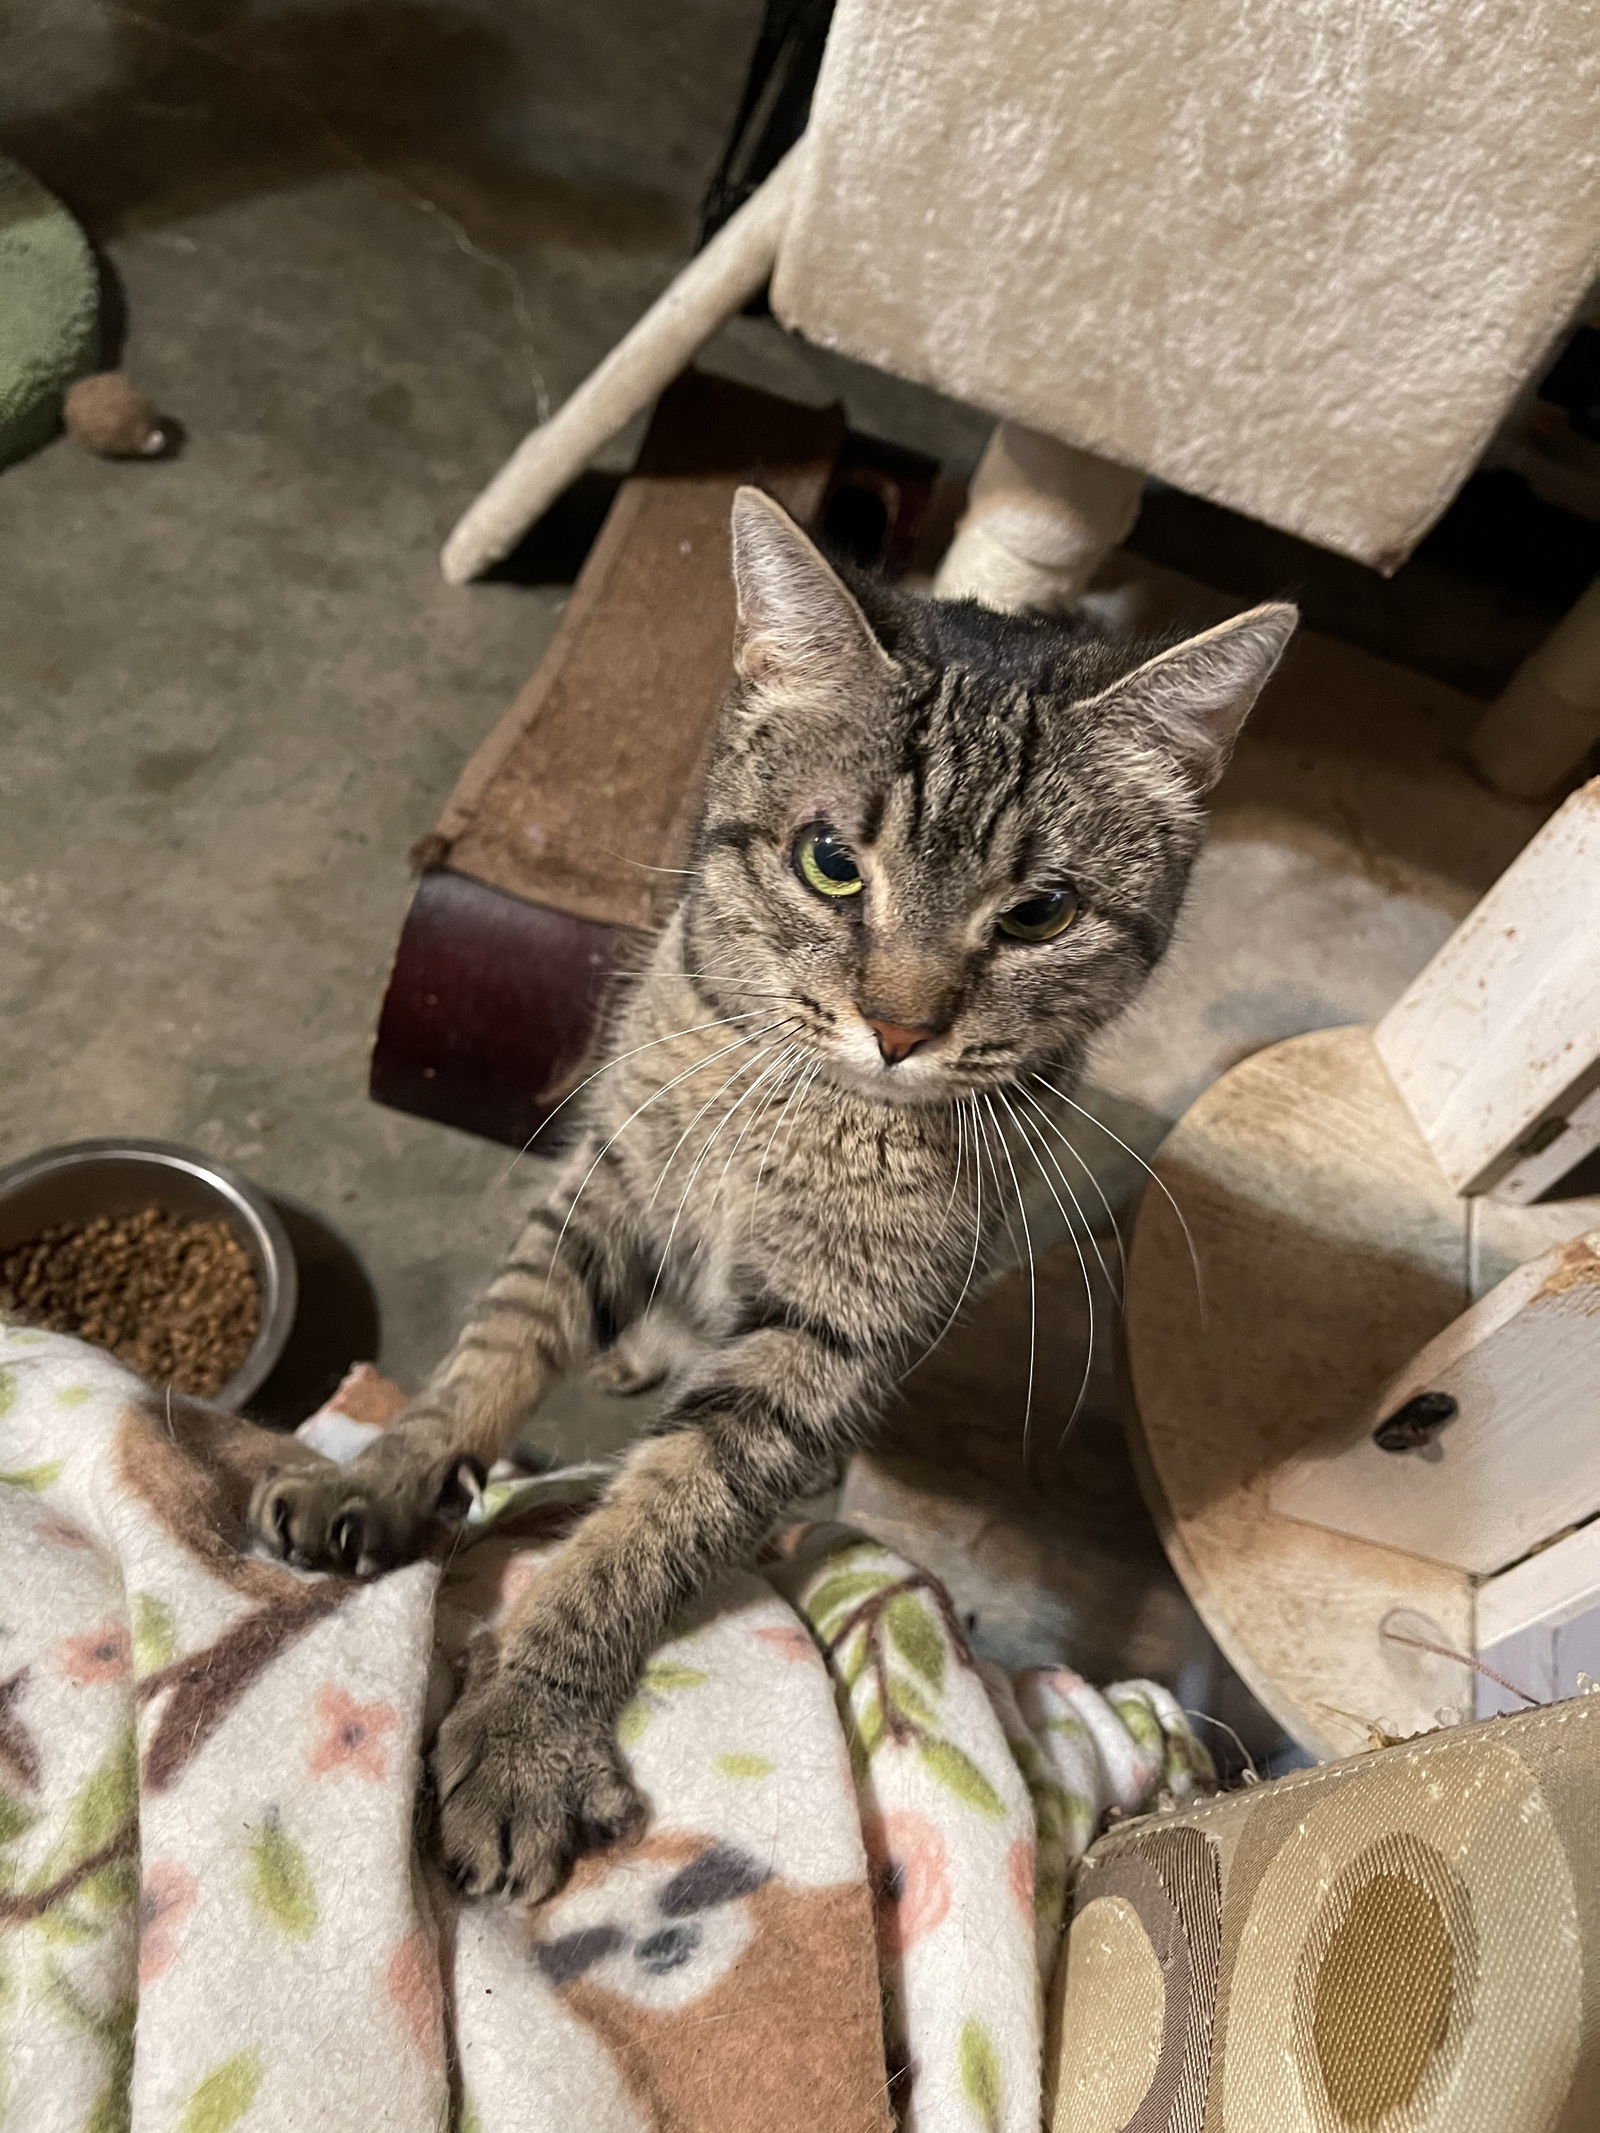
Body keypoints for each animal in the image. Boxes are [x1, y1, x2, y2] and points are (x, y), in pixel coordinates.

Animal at [257, 488, 1297, 1902]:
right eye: (828, 864)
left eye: (1038, 913)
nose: (900, 1029)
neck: (809, 1110)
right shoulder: (610, 1180)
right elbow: (493, 1351)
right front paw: (387, 1472)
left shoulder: (831, 1337)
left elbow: (655, 1517)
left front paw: (528, 1724)